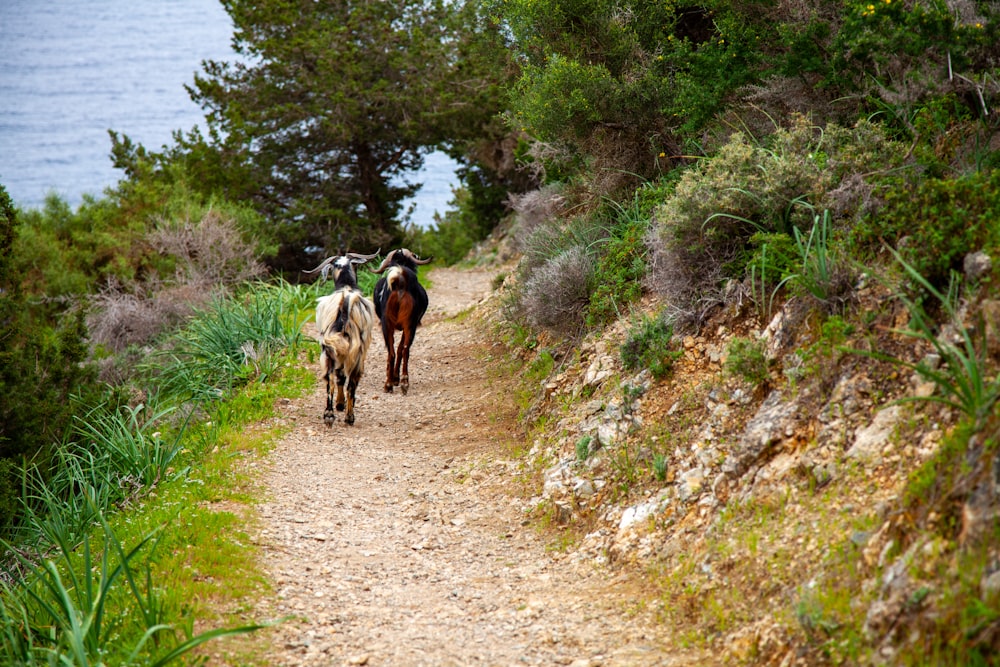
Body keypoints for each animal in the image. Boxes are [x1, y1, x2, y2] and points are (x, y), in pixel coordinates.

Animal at [370, 250, 428, 396]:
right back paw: (402, 382)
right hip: (409, 325)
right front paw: (396, 379)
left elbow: (398, 349)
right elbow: (401, 348)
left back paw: (390, 384)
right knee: (404, 350)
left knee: (393, 352)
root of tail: (400, 279)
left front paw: (394, 379)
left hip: (389, 325)